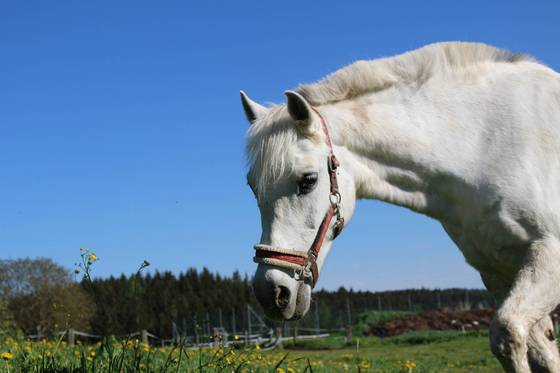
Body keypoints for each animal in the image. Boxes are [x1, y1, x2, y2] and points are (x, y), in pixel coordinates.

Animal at [241, 41, 560, 372]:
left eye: (308, 180)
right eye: (252, 187)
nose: (272, 292)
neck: (483, 144)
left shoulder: (548, 254)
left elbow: (508, 333)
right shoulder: (496, 271)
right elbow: (542, 351)